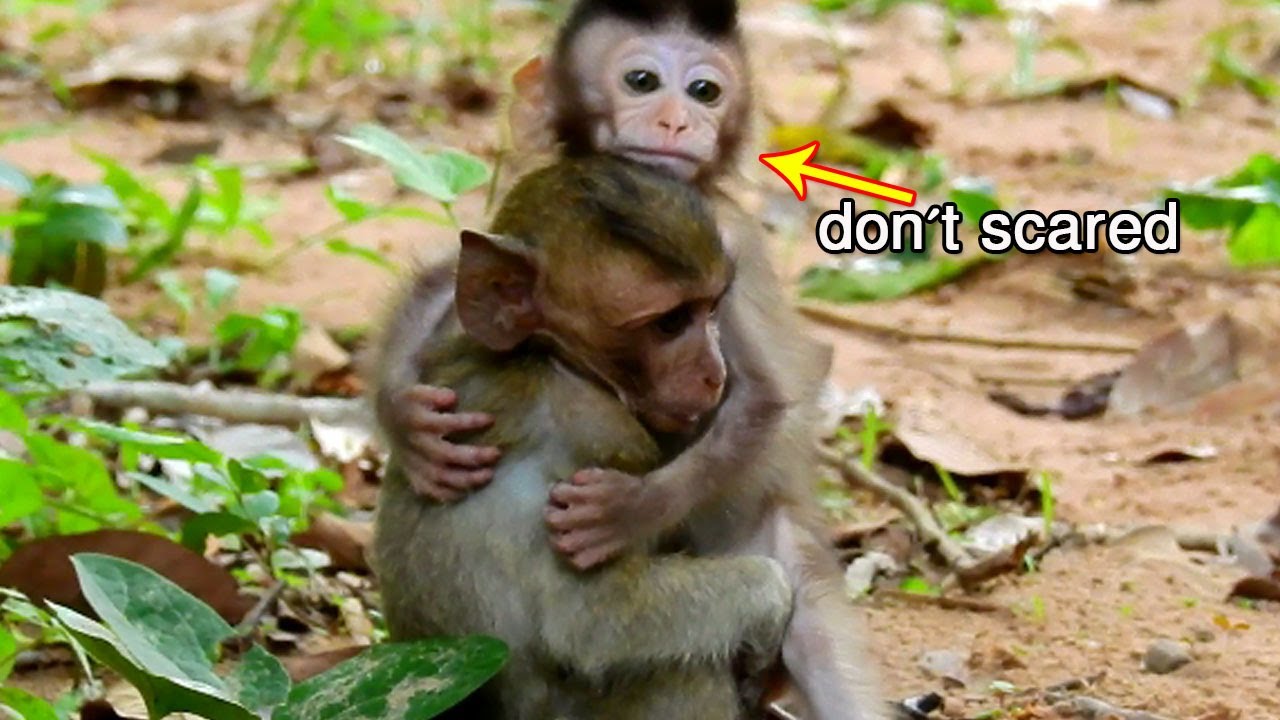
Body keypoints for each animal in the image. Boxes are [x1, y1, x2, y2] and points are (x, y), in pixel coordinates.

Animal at [373, 156, 794, 719]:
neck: (550, 356)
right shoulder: (594, 432)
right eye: (668, 324)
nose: (715, 373)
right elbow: (589, 626)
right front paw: (770, 602)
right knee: (684, 665)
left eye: (710, 309)